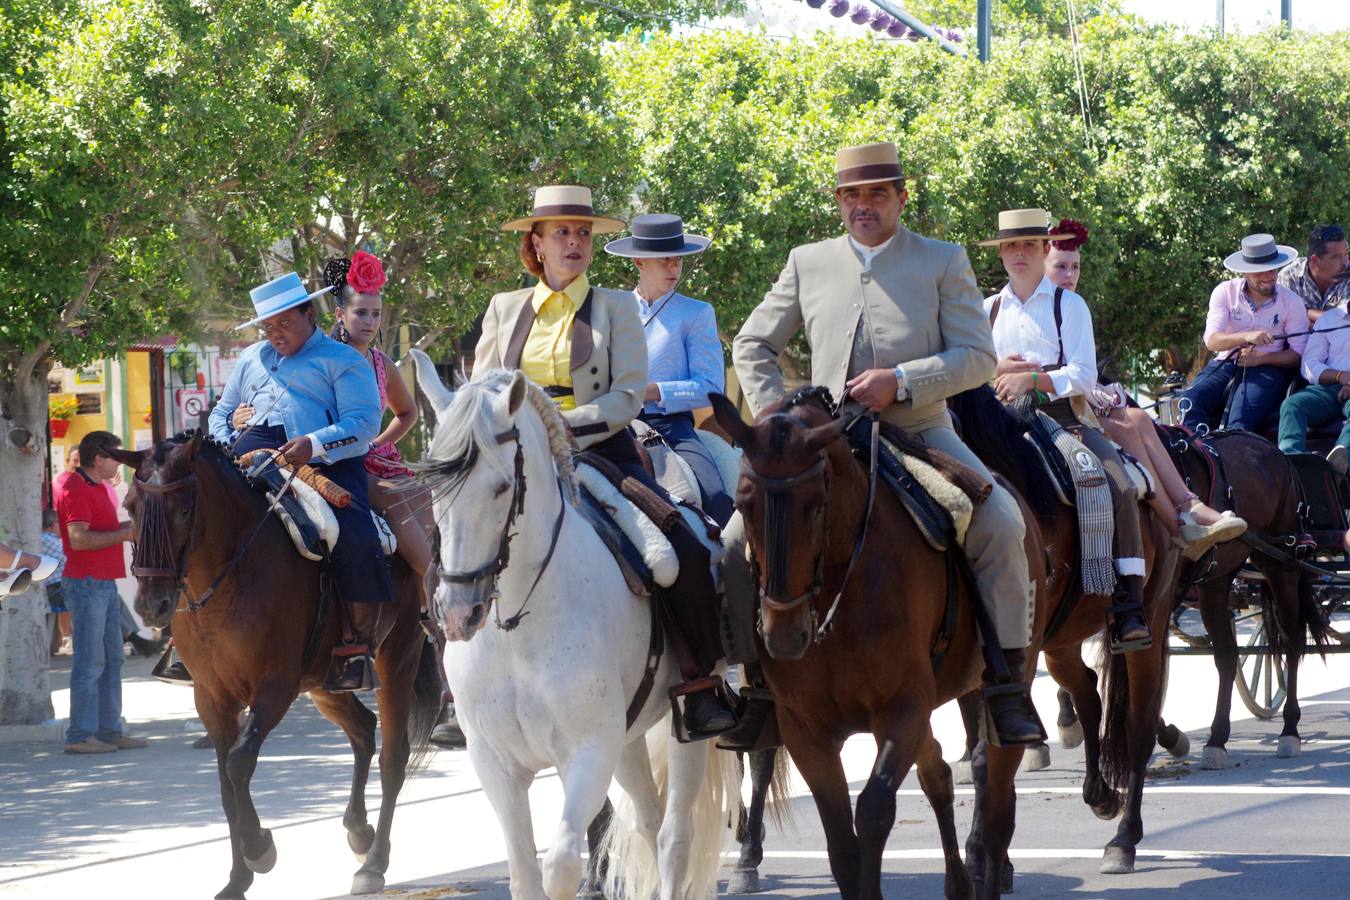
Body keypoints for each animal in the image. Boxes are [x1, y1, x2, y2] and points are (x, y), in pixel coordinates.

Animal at [112, 431, 437, 895]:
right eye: (130, 507)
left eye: (184, 509)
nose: (151, 605)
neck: (231, 576)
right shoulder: (210, 698)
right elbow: (225, 785)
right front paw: (236, 880)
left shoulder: (275, 687)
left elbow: (238, 763)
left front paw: (259, 848)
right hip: (323, 683)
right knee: (362, 728)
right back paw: (359, 831)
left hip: (397, 658)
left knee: (393, 757)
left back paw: (373, 863)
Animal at [413, 358, 739, 900]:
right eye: (433, 488)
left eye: (502, 486)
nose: (459, 613)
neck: (517, 627)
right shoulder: (496, 764)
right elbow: (524, 873)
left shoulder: (587, 753)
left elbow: (562, 864)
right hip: (627, 740)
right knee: (649, 822)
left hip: (683, 726)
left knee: (674, 836)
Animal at [712, 388, 1047, 900]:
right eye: (742, 503)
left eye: (817, 504)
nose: (784, 636)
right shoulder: (805, 730)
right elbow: (840, 841)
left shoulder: (902, 708)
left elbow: (872, 812)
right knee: (939, 777)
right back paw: (958, 881)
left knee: (994, 807)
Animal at [950, 383, 1182, 874]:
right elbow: (985, 749)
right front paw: (993, 856)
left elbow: (988, 755)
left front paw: (984, 853)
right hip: (1061, 642)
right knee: (1088, 693)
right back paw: (1099, 795)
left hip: (1149, 622)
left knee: (1138, 726)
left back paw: (1124, 839)